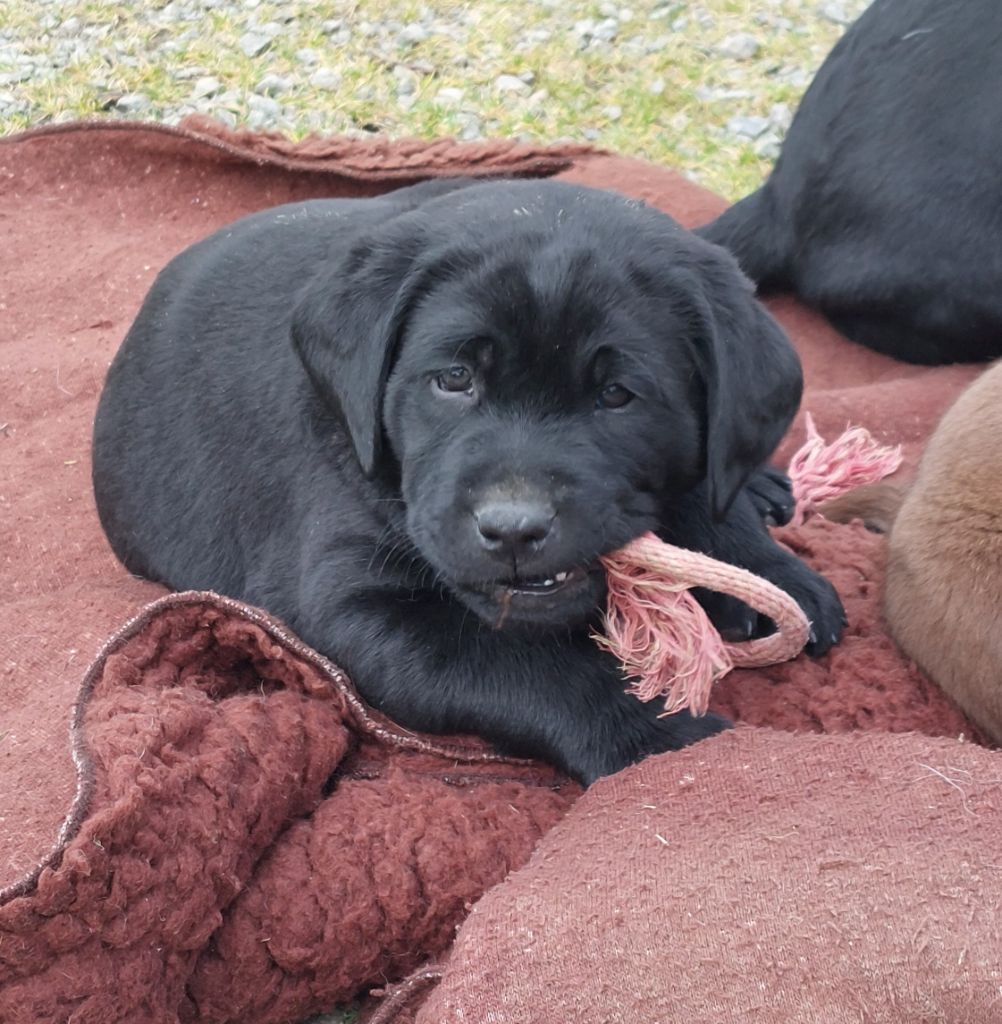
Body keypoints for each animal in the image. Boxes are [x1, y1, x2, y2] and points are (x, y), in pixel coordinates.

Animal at [94, 178, 847, 782]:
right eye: (454, 379)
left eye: (617, 395)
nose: (513, 529)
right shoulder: (355, 602)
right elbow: (531, 667)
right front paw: (656, 733)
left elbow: (703, 486)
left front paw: (766, 566)